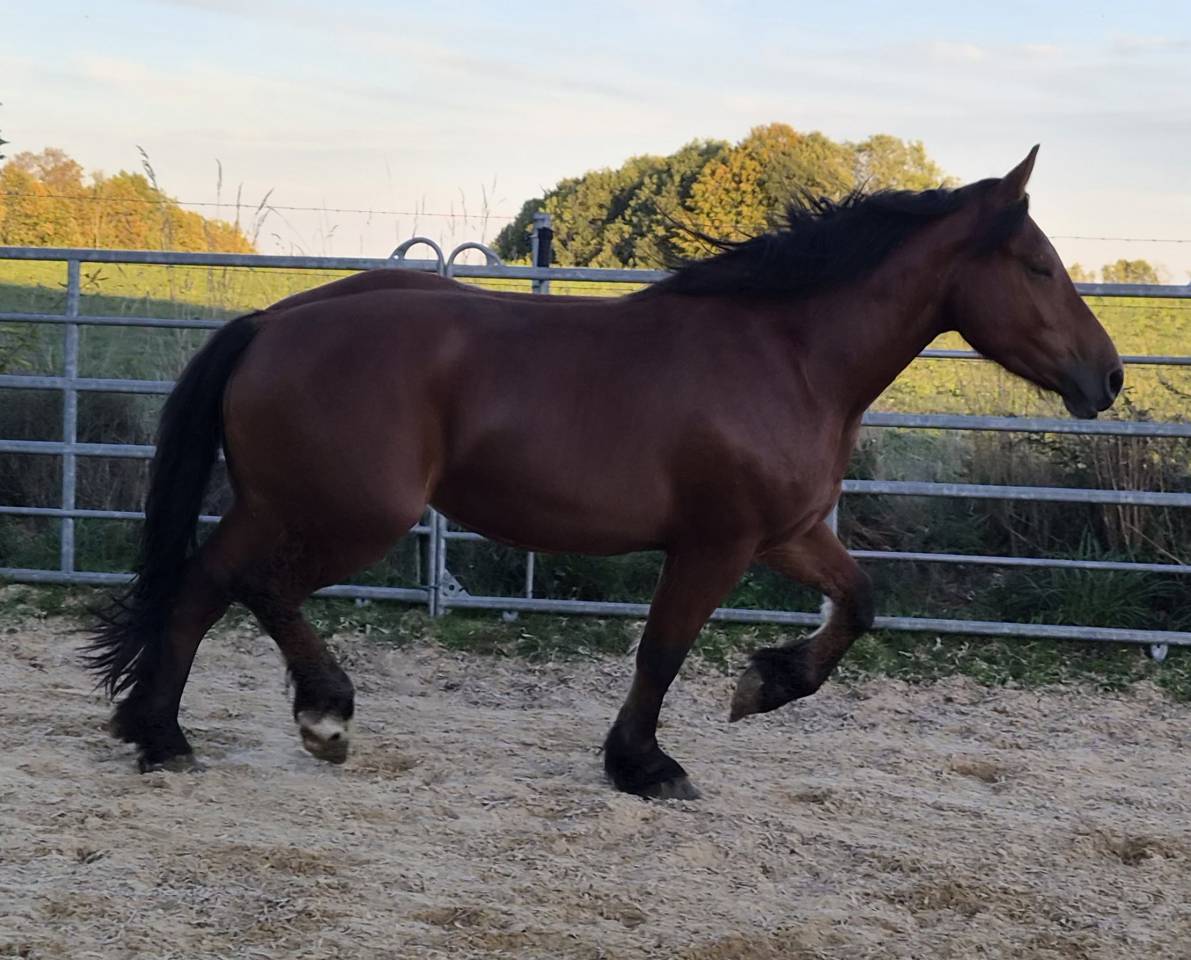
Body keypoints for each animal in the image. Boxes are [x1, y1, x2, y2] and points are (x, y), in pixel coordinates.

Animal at [86, 147, 1122, 798]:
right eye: (1037, 266)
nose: (1105, 377)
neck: (786, 354)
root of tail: (272, 321)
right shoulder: (714, 544)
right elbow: (660, 651)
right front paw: (645, 765)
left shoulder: (788, 535)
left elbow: (860, 605)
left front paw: (764, 684)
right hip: (350, 514)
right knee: (257, 589)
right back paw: (321, 717)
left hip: (279, 504)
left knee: (200, 586)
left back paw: (162, 737)